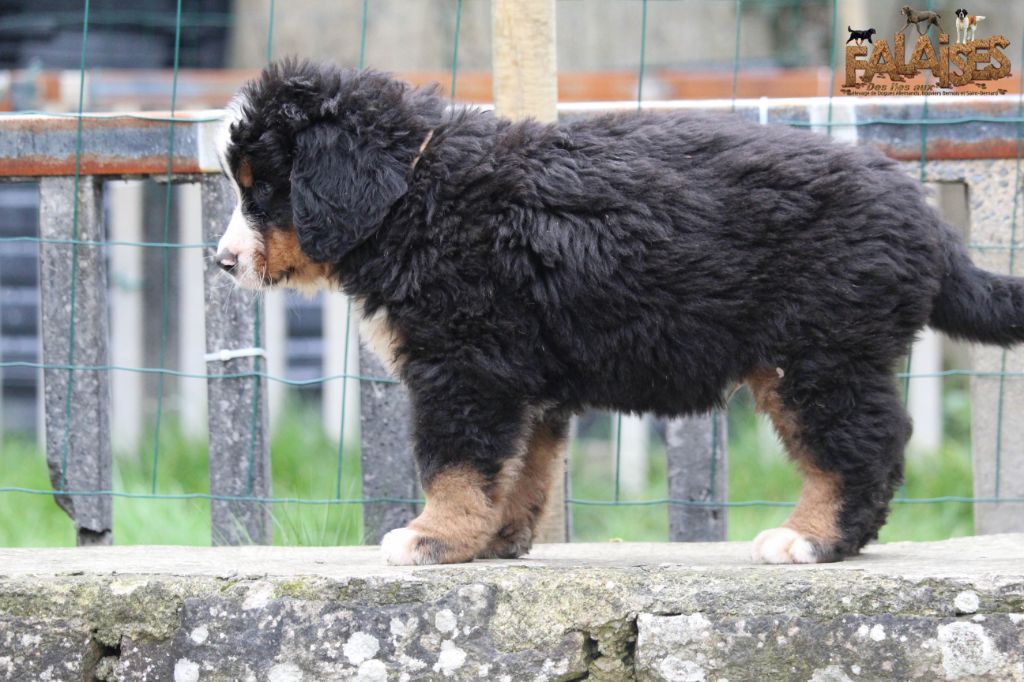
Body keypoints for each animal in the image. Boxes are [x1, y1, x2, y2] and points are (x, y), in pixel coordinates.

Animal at [214, 61, 1024, 565]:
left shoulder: (465, 366)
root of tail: (925, 220)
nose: (222, 262)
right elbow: (522, 469)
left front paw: (433, 538)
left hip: (818, 355)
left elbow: (454, 464)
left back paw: (811, 540)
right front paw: (496, 540)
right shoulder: (524, 379)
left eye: (263, 190)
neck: (418, 195)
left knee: (861, 448)